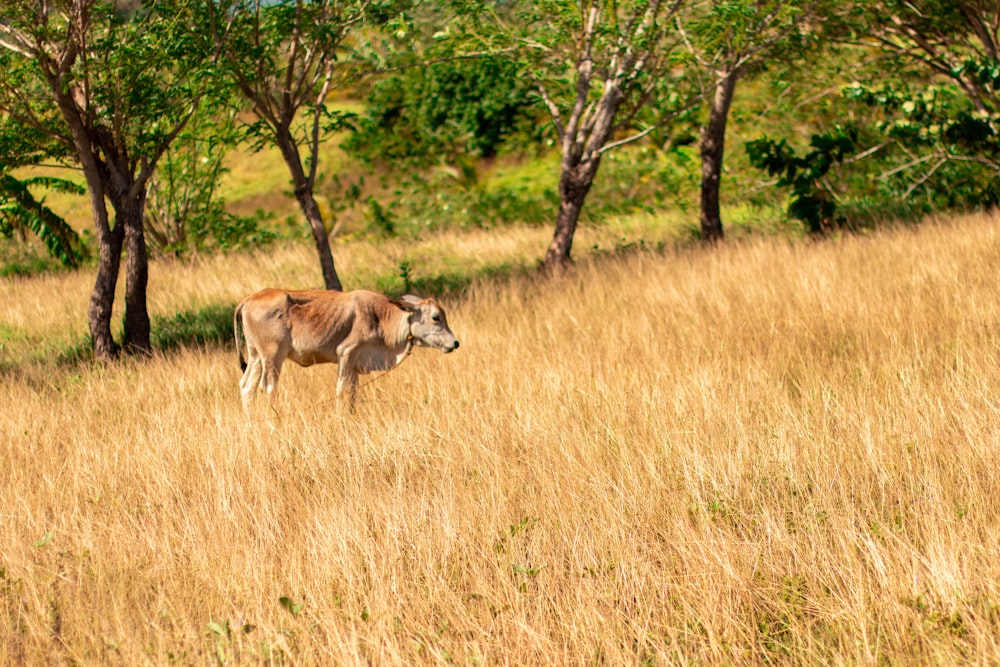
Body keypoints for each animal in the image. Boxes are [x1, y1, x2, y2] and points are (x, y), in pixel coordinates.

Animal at [232, 290, 458, 414]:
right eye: (436, 317)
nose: (455, 343)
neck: (380, 317)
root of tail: (248, 300)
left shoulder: (355, 365)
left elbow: (352, 395)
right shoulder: (346, 355)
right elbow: (342, 392)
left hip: (256, 356)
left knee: (247, 386)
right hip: (273, 356)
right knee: (269, 388)